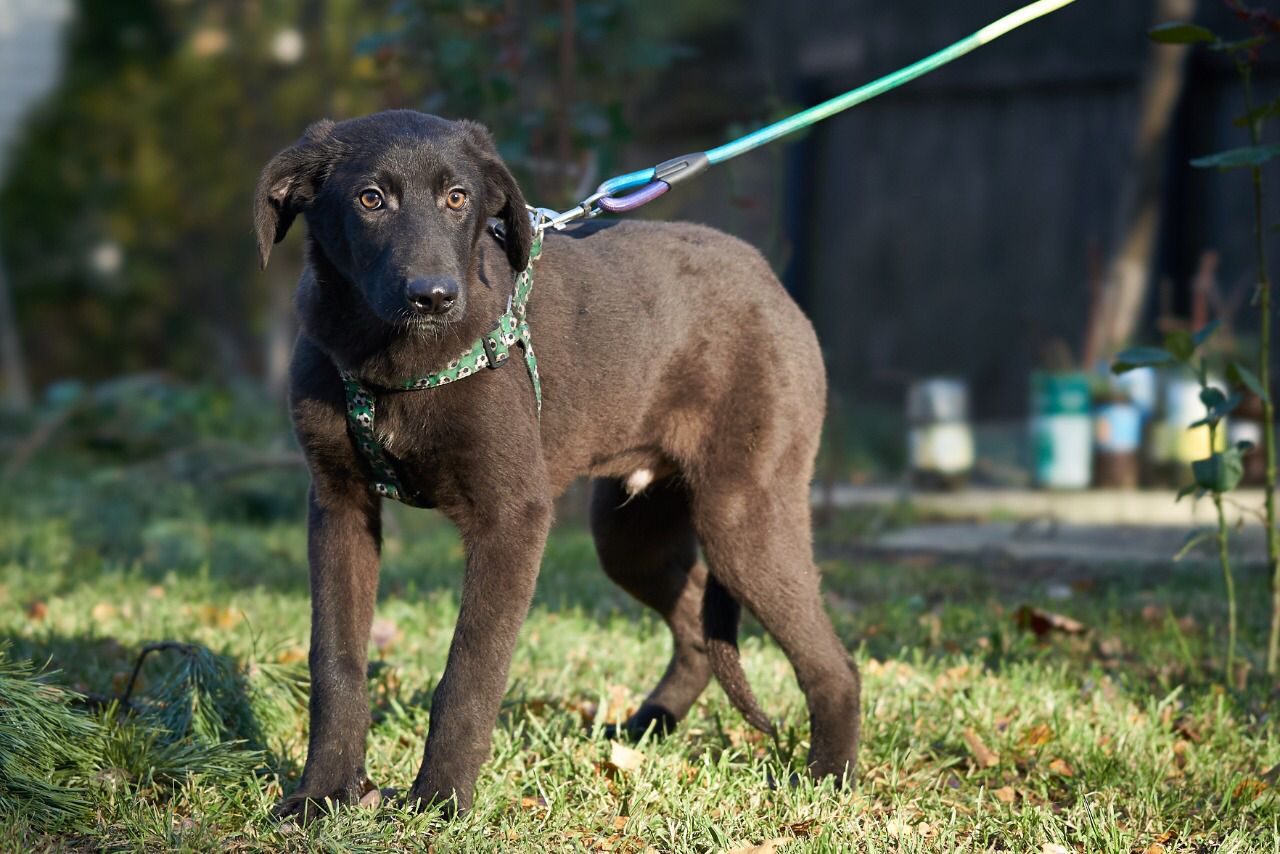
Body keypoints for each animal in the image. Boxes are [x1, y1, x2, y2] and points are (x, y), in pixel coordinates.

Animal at [254, 110, 860, 819]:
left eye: (457, 198)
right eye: (369, 199)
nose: (433, 297)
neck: (388, 357)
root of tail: (768, 279)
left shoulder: (513, 517)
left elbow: (470, 671)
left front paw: (441, 802)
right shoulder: (339, 505)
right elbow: (335, 663)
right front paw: (322, 795)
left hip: (743, 517)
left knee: (834, 664)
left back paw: (829, 781)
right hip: (630, 535)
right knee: (694, 629)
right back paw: (644, 730)